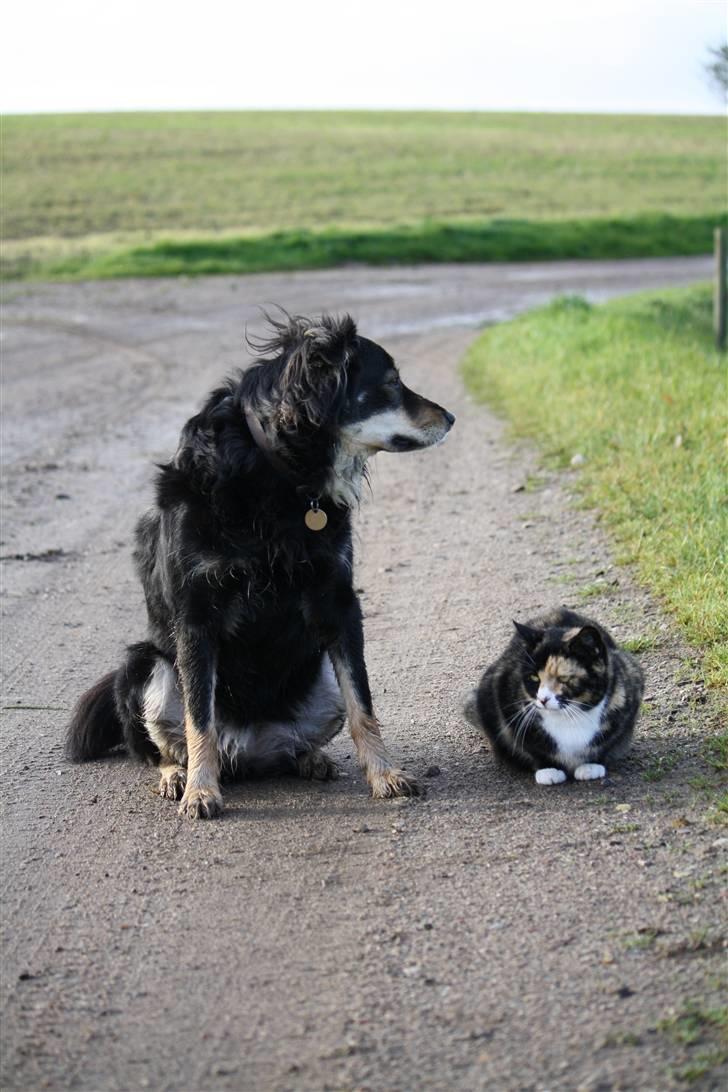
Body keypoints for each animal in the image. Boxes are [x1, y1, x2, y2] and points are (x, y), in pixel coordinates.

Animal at [68, 312, 456, 816]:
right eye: (390, 382)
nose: (451, 418)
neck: (278, 477)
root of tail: (247, 753)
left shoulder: (338, 602)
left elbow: (363, 704)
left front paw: (385, 774)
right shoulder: (196, 617)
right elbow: (199, 717)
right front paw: (201, 790)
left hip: (317, 670)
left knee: (295, 745)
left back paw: (310, 759)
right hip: (144, 665)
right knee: (160, 746)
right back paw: (178, 775)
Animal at [467, 607, 641, 786]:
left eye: (563, 679)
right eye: (534, 677)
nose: (543, 699)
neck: (570, 718)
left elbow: (607, 742)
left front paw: (591, 766)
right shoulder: (506, 698)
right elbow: (533, 747)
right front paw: (549, 770)